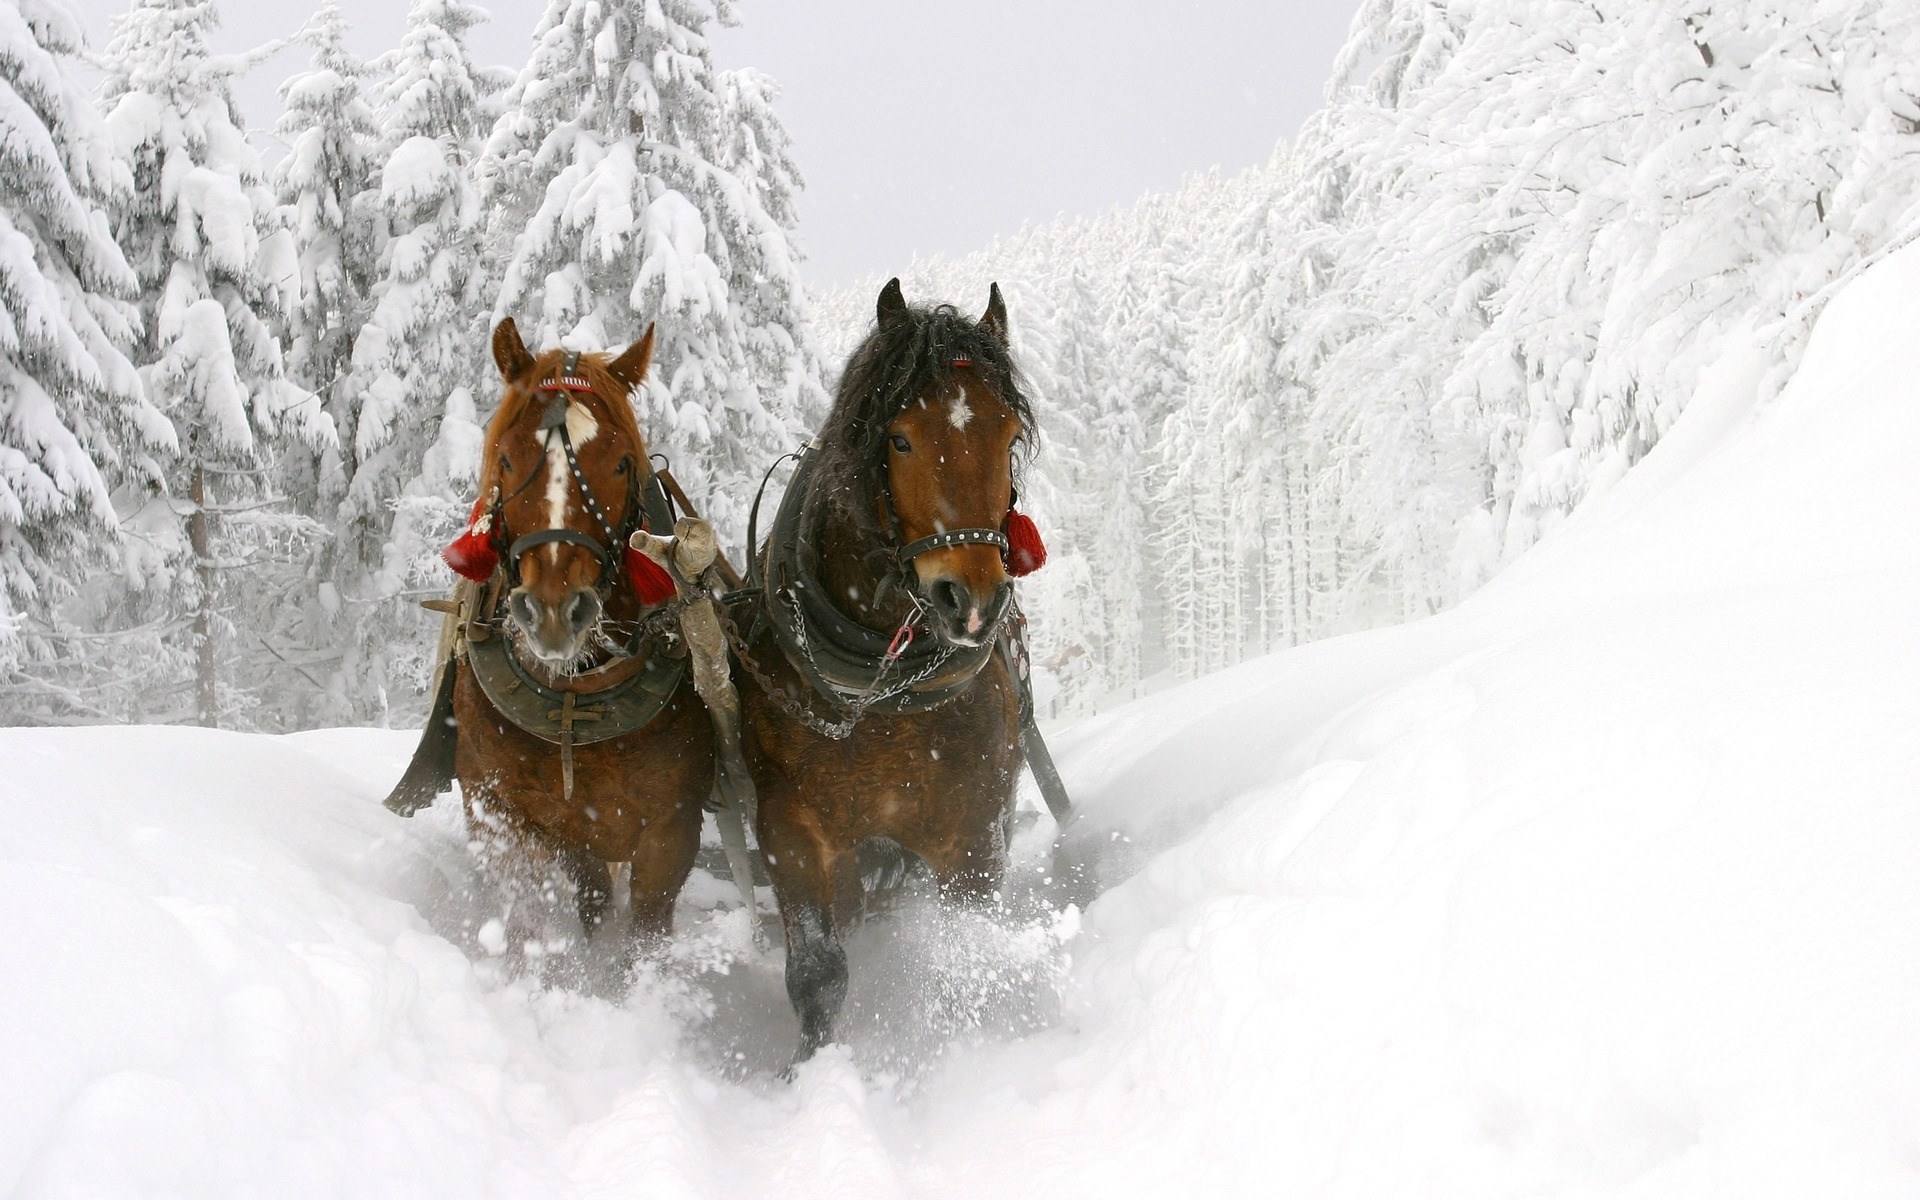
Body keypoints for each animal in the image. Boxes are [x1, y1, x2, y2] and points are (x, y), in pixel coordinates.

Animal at [389, 318, 716, 970]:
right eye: (508, 457)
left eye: (621, 464)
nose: (555, 613)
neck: (576, 698)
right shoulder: (503, 814)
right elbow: (529, 920)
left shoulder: (671, 830)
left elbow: (643, 936)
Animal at [737, 279, 1045, 1064]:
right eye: (900, 438)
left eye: (1008, 436)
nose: (972, 600)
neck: (882, 693)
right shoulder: (790, 827)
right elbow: (818, 973)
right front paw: (808, 1073)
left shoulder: (975, 833)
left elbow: (965, 958)